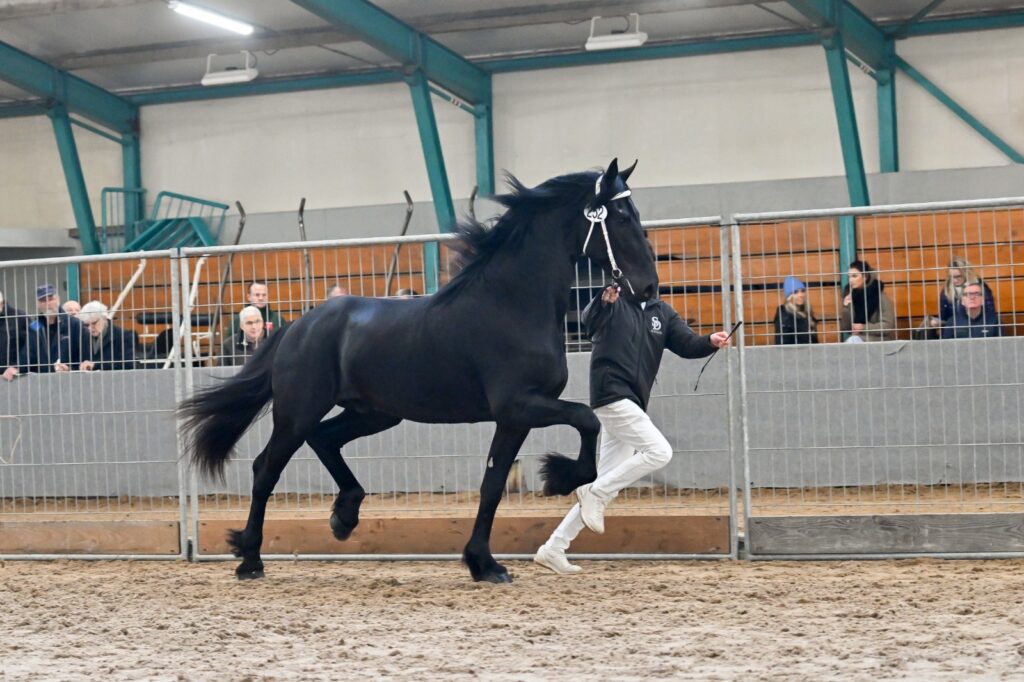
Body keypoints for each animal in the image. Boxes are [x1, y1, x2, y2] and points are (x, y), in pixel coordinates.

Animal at [180, 157, 659, 577]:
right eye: (620, 217)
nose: (649, 287)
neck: (513, 303)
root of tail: (296, 326)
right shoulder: (521, 405)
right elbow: (585, 419)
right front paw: (558, 479)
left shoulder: (514, 417)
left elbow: (492, 485)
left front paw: (483, 564)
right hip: (298, 411)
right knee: (267, 468)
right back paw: (250, 559)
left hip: (375, 413)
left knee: (324, 439)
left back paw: (344, 517)